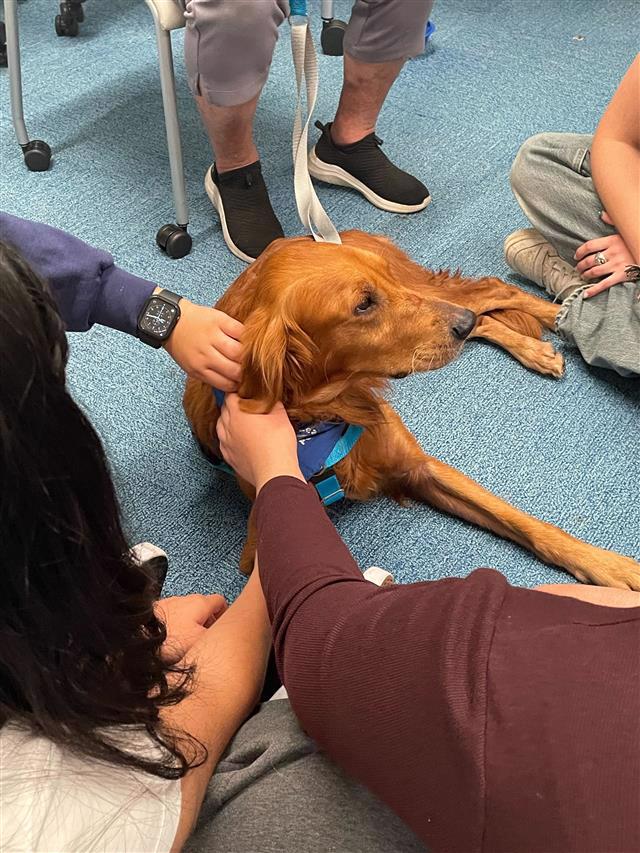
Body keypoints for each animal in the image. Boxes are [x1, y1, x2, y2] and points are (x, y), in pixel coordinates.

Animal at [184, 230, 640, 588]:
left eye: (375, 287)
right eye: (364, 304)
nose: (459, 323)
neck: (329, 412)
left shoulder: (419, 466)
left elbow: (526, 523)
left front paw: (612, 566)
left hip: (433, 290)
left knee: (496, 292)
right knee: (486, 316)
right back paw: (531, 347)